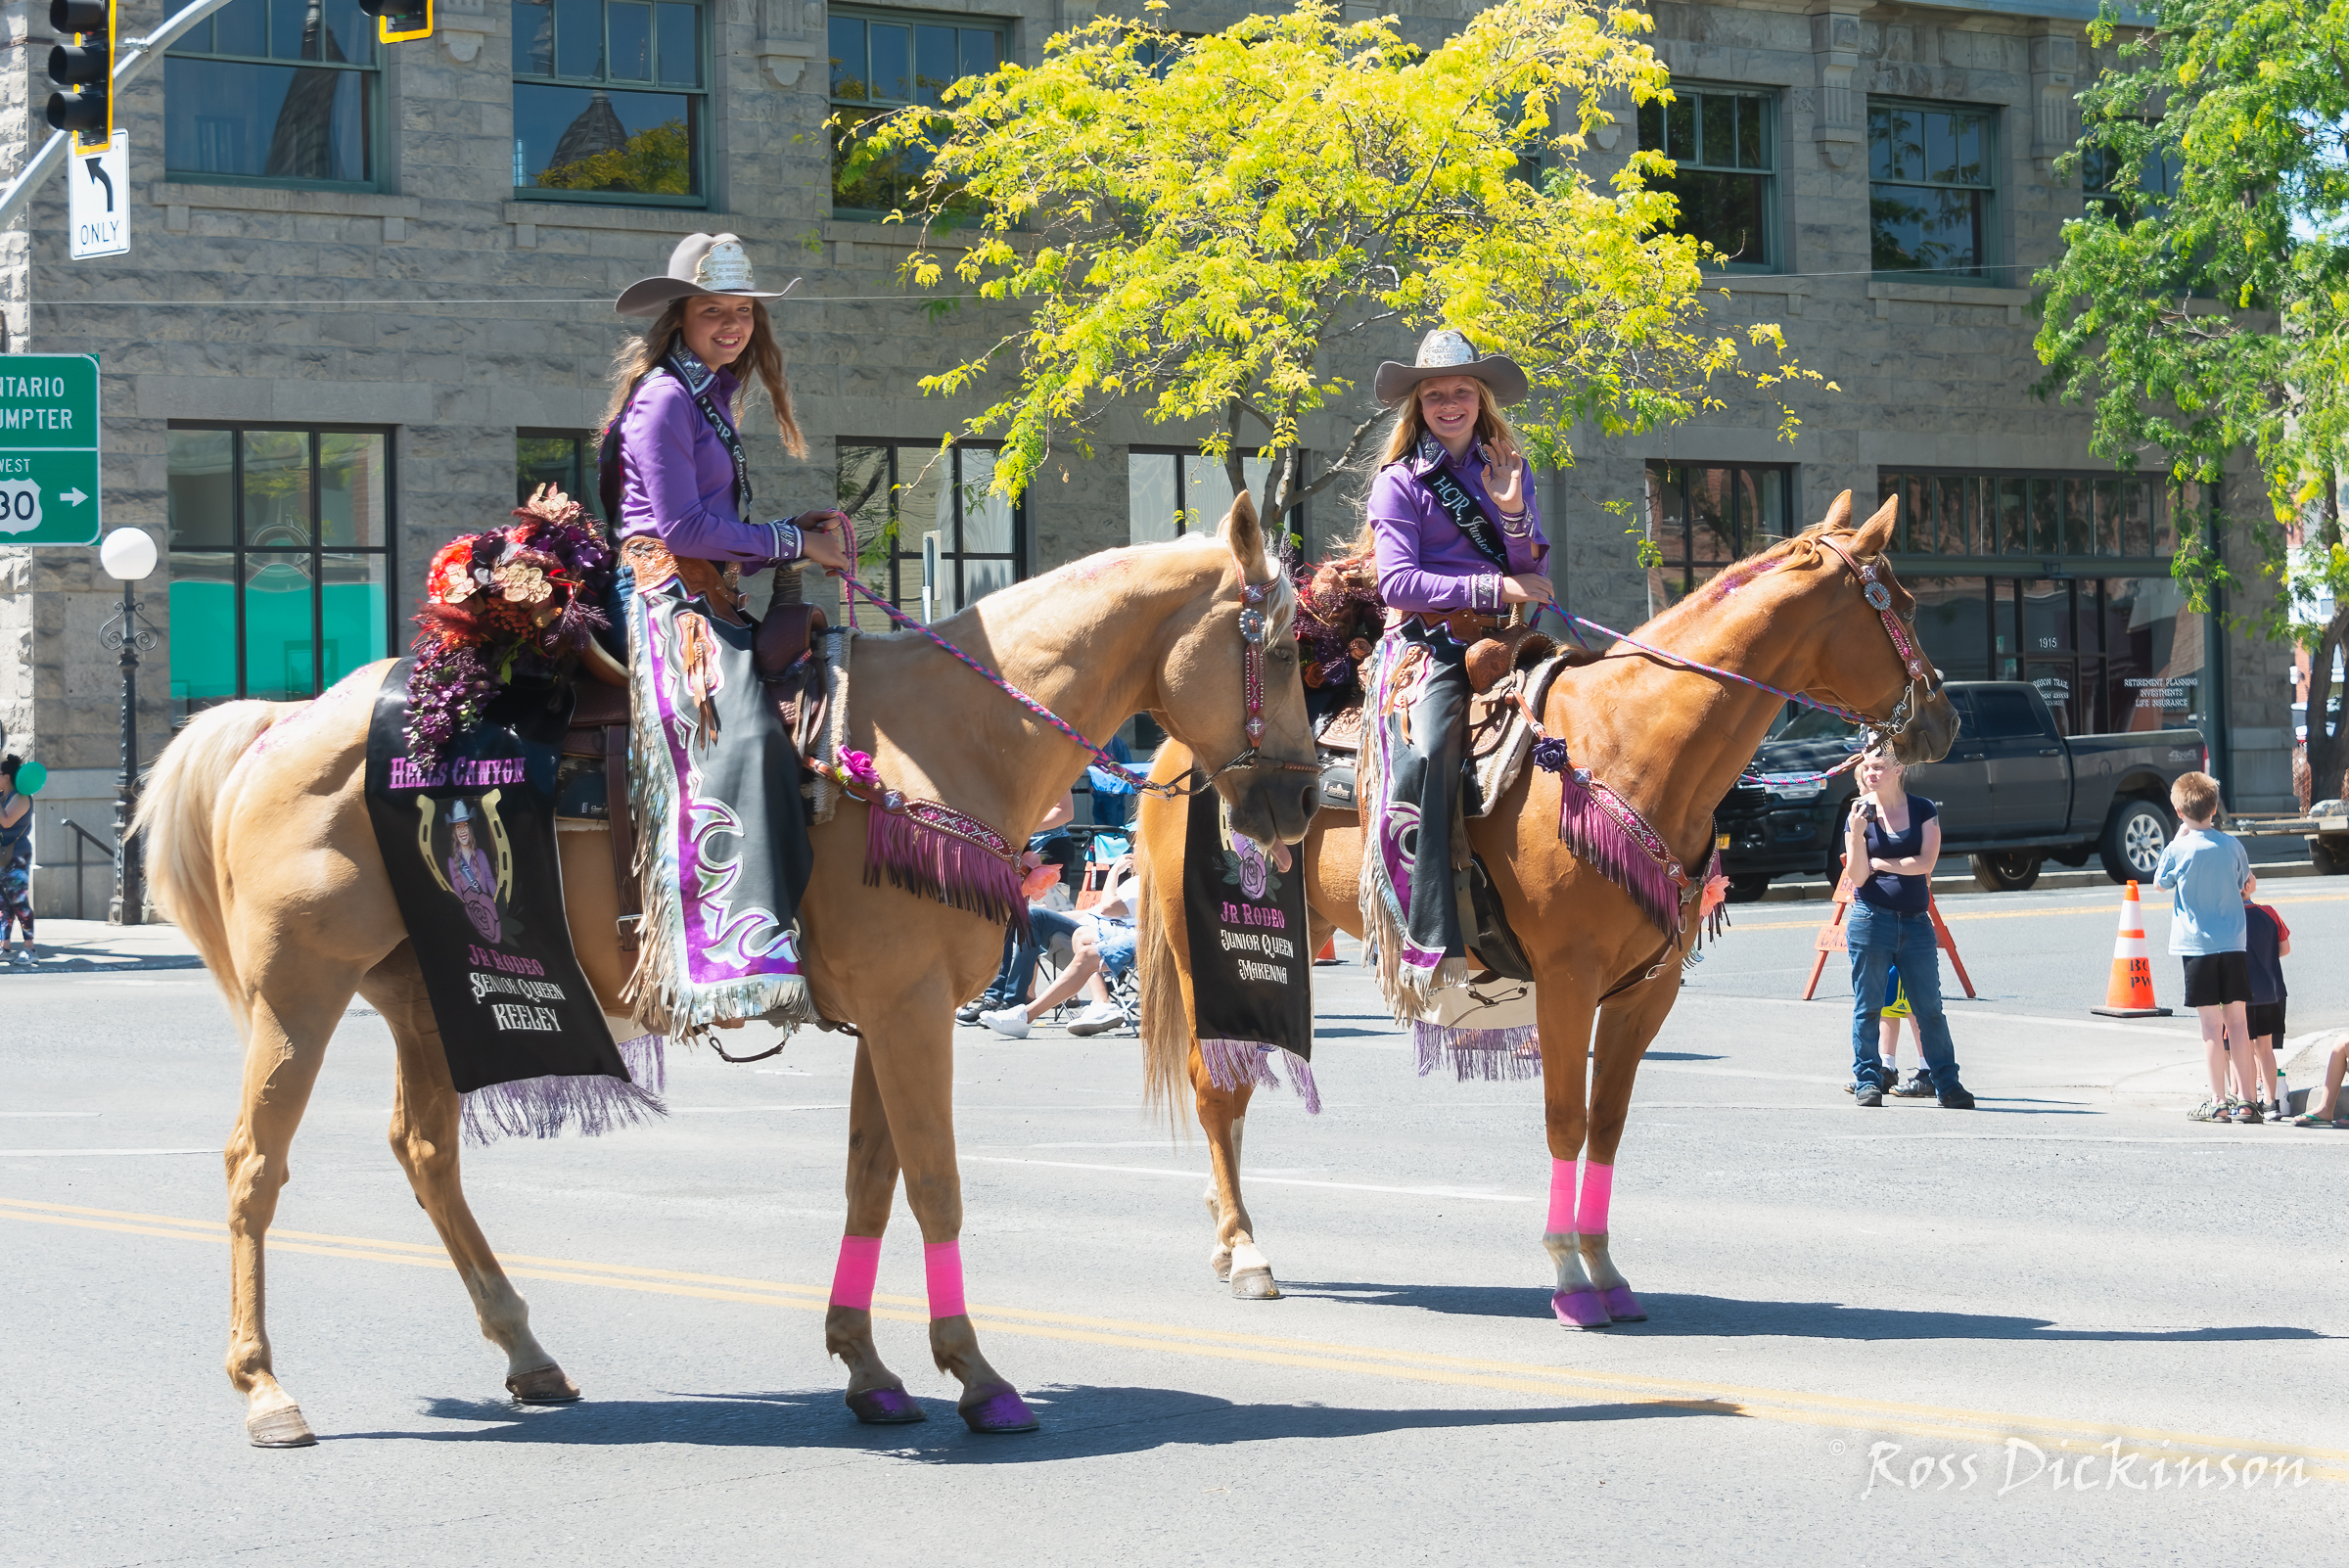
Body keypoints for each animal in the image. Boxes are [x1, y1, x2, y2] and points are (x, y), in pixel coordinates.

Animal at [142, 499, 1324, 1446]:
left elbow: (871, 1181)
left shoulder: (891, 1014)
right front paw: (977, 1376)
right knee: (254, 1164)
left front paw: (869, 1368)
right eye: (1279, 651)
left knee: (427, 1155)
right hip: (300, 989)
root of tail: (284, 722)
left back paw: (526, 1352)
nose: (1303, 804)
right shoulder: (910, 1013)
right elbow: (935, 1184)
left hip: (429, 996)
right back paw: (266, 1390)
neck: (946, 737)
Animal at [1131, 495, 1945, 1305]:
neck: (1628, 747)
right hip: (1210, 943)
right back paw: (1245, 1251)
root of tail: (1174, 751)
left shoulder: (1645, 991)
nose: (1945, 719)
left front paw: (1605, 1268)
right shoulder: (1566, 980)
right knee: (1215, 1087)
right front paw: (1568, 1275)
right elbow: (1565, 1121)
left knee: (1234, 1083)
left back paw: (1225, 1231)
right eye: (1901, 604)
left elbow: (1606, 1122)